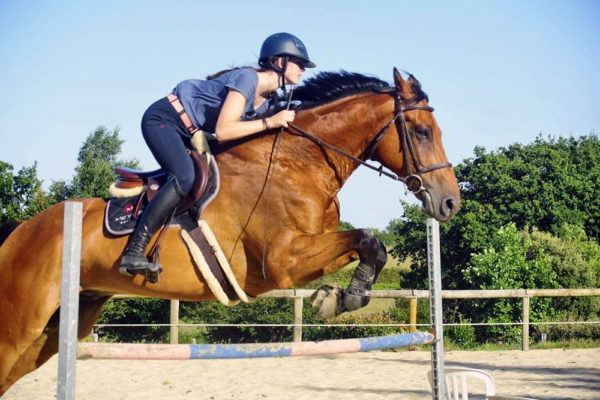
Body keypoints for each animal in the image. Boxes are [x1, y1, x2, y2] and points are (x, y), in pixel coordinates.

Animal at [0, 68, 460, 394]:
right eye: (422, 132)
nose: (449, 203)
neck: (299, 161)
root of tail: (21, 230)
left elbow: (369, 245)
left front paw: (338, 296)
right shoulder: (281, 262)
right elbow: (368, 240)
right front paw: (340, 298)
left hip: (58, 327)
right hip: (23, 323)